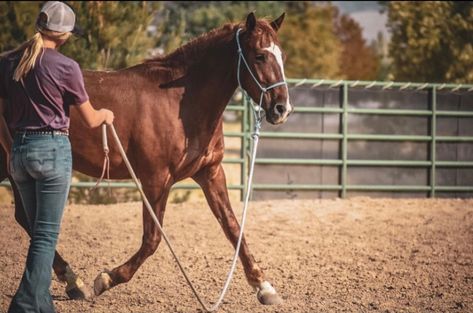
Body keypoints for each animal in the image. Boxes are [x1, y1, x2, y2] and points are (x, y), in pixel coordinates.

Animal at [1, 13, 292, 304]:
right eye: (259, 56)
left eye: (282, 55)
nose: (282, 109)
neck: (179, 104)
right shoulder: (156, 179)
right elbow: (152, 239)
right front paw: (106, 279)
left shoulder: (210, 173)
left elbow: (232, 227)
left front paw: (264, 286)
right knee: (30, 218)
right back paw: (75, 281)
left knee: (25, 217)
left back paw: (71, 281)